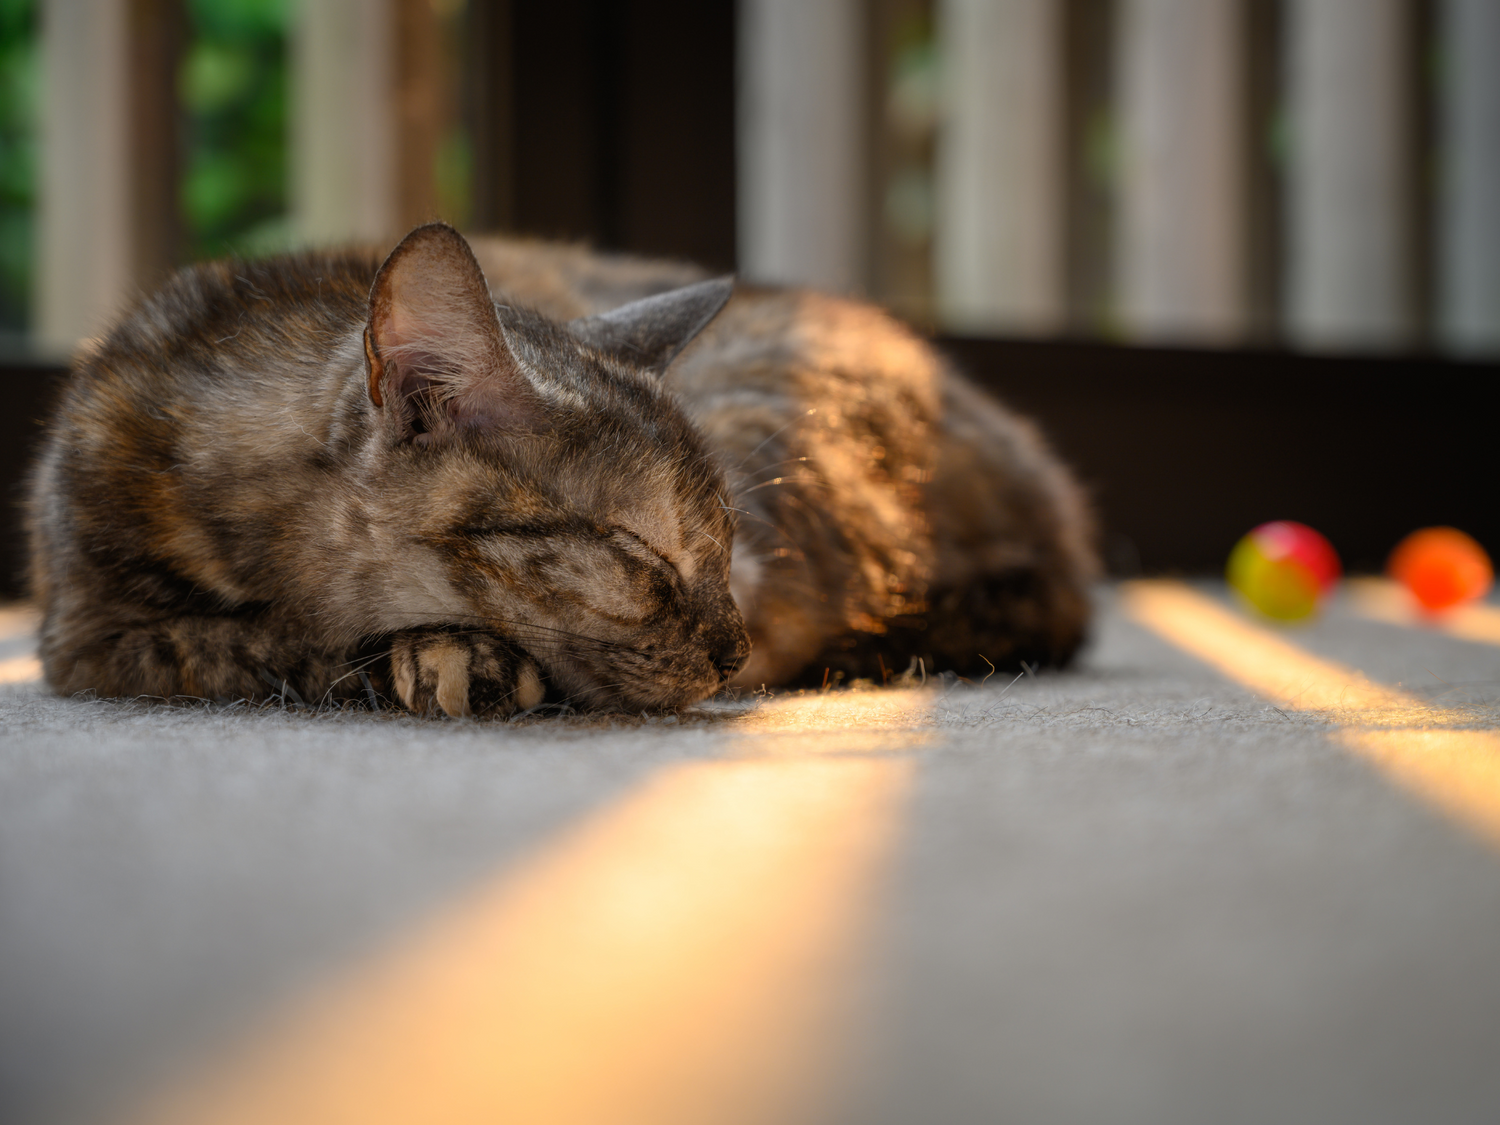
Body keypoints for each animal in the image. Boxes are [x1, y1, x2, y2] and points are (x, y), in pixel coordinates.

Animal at [29, 222, 1098, 717]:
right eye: (641, 553)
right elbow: (240, 643)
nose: (734, 652)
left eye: (723, 546)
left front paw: (455, 658)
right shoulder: (88, 638)